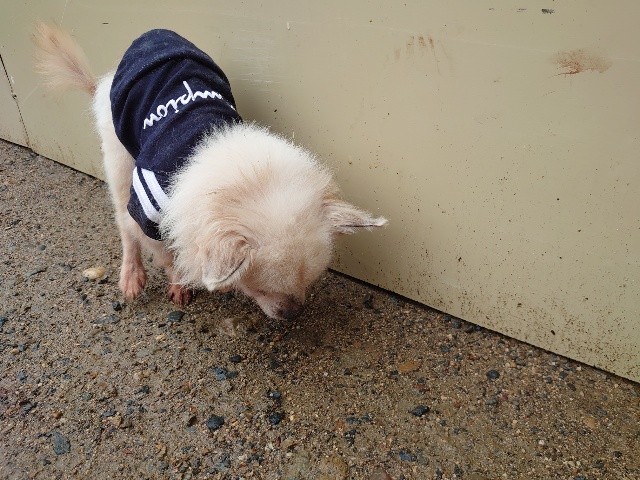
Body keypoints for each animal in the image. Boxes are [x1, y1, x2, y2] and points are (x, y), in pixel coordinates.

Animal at [33, 23, 387, 320]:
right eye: (260, 288)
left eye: (308, 284)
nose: (293, 314)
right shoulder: (149, 212)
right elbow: (168, 253)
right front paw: (180, 283)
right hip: (119, 157)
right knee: (123, 222)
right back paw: (131, 275)